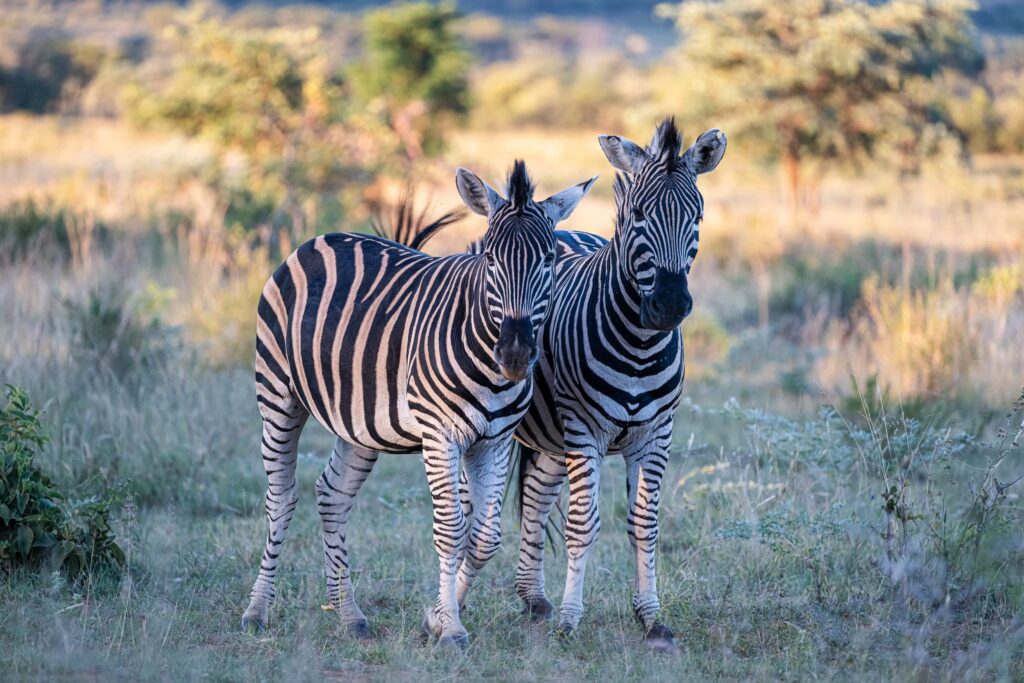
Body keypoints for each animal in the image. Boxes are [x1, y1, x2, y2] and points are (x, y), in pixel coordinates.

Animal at [240, 160, 598, 647]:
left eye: (549, 260)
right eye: (490, 258)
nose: (515, 355)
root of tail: (319, 239)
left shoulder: (496, 441)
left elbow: (484, 536)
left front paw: (441, 617)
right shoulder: (440, 435)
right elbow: (451, 530)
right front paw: (451, 630)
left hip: (359, 423)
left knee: (331, 495)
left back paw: (348, 615)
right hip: (278, 395)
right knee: (280, 497)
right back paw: (257, 610)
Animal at [512, 120, 729, 651]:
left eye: (698, 215)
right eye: (638, 214)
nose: (669, 306)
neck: (638, 346)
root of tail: (563, 227)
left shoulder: (657, 432)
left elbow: (645, 523)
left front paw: (651, 617)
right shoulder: (583, 428)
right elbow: (581, 524)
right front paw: (570, 620)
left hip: (552, 438)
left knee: (536, 496)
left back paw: (533, 598)